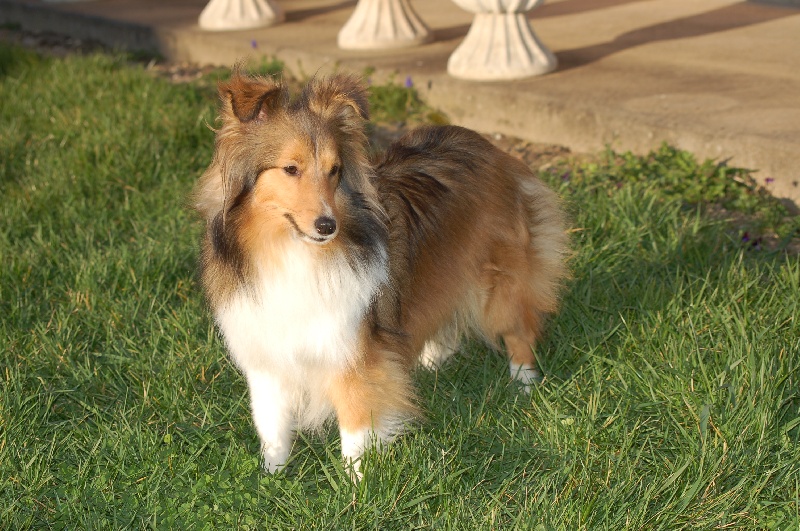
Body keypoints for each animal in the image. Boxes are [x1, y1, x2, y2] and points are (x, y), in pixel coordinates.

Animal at [193, 71, 568, 478]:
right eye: (290, 168)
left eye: (335, 170)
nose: (327, 226)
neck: (292, 250)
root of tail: (486, 144)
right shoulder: (267, 354)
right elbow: (271, 424)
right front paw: (272, 476)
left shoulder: (352, 353)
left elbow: (355, 427)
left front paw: (356, 484)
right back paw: (431, 359)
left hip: (499, 281)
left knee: (518, 329)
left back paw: (524, 382)